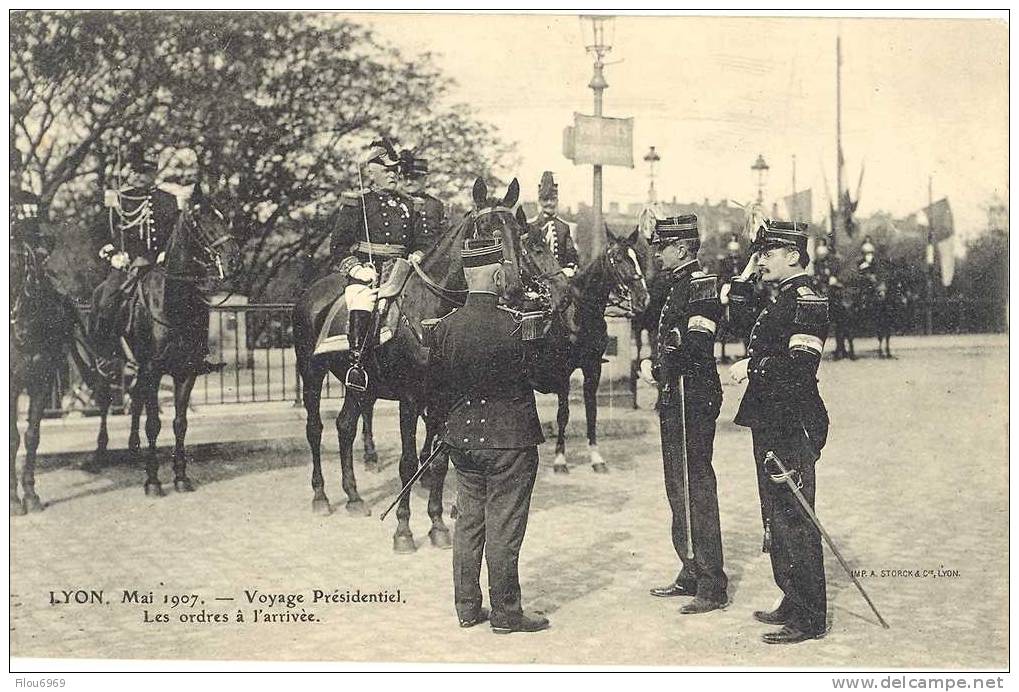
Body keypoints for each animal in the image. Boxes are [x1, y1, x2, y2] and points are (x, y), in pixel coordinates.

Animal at [10, 238, 106, 513]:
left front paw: (30, 495)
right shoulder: (12, 386)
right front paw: (13, 500)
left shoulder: (41, 382)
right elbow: (12, 439)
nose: (16, 327)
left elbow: (32, 436)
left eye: (21, 272)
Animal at [87, 202, 238, 495]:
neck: (174, 303)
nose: (233, 258)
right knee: (105, 401)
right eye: (200, 221)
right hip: (107, 362)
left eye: (223, 218)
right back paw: (99, 453)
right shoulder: (153, 370)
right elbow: (154, 424)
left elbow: (180, 423)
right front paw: (153, 481)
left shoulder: (185, 372)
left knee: (135, 399)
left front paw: (180, 476)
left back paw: (134, 448)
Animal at [291, 177, 521, 550]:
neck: (431, 313)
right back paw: (321, 496)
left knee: (345, 426)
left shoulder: (442, 399)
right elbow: (408, 462)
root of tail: (310, 294)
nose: (513, 288)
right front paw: (403, 530)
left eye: (519, 230)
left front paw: (438, 525)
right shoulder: (410, 401)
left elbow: (438, 462)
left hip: (359, 384)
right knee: (316, 429)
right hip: (311, 374)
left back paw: (354, 497)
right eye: (487, 228)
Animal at [521, 230, 648, 472]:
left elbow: (592, 411)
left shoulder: (593, 368)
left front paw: (596, 457)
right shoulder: (562, 372)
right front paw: (560, 459)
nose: (643, 298)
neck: (580, 314)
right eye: (618, 259)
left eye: (637, 258)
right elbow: (563, 414)